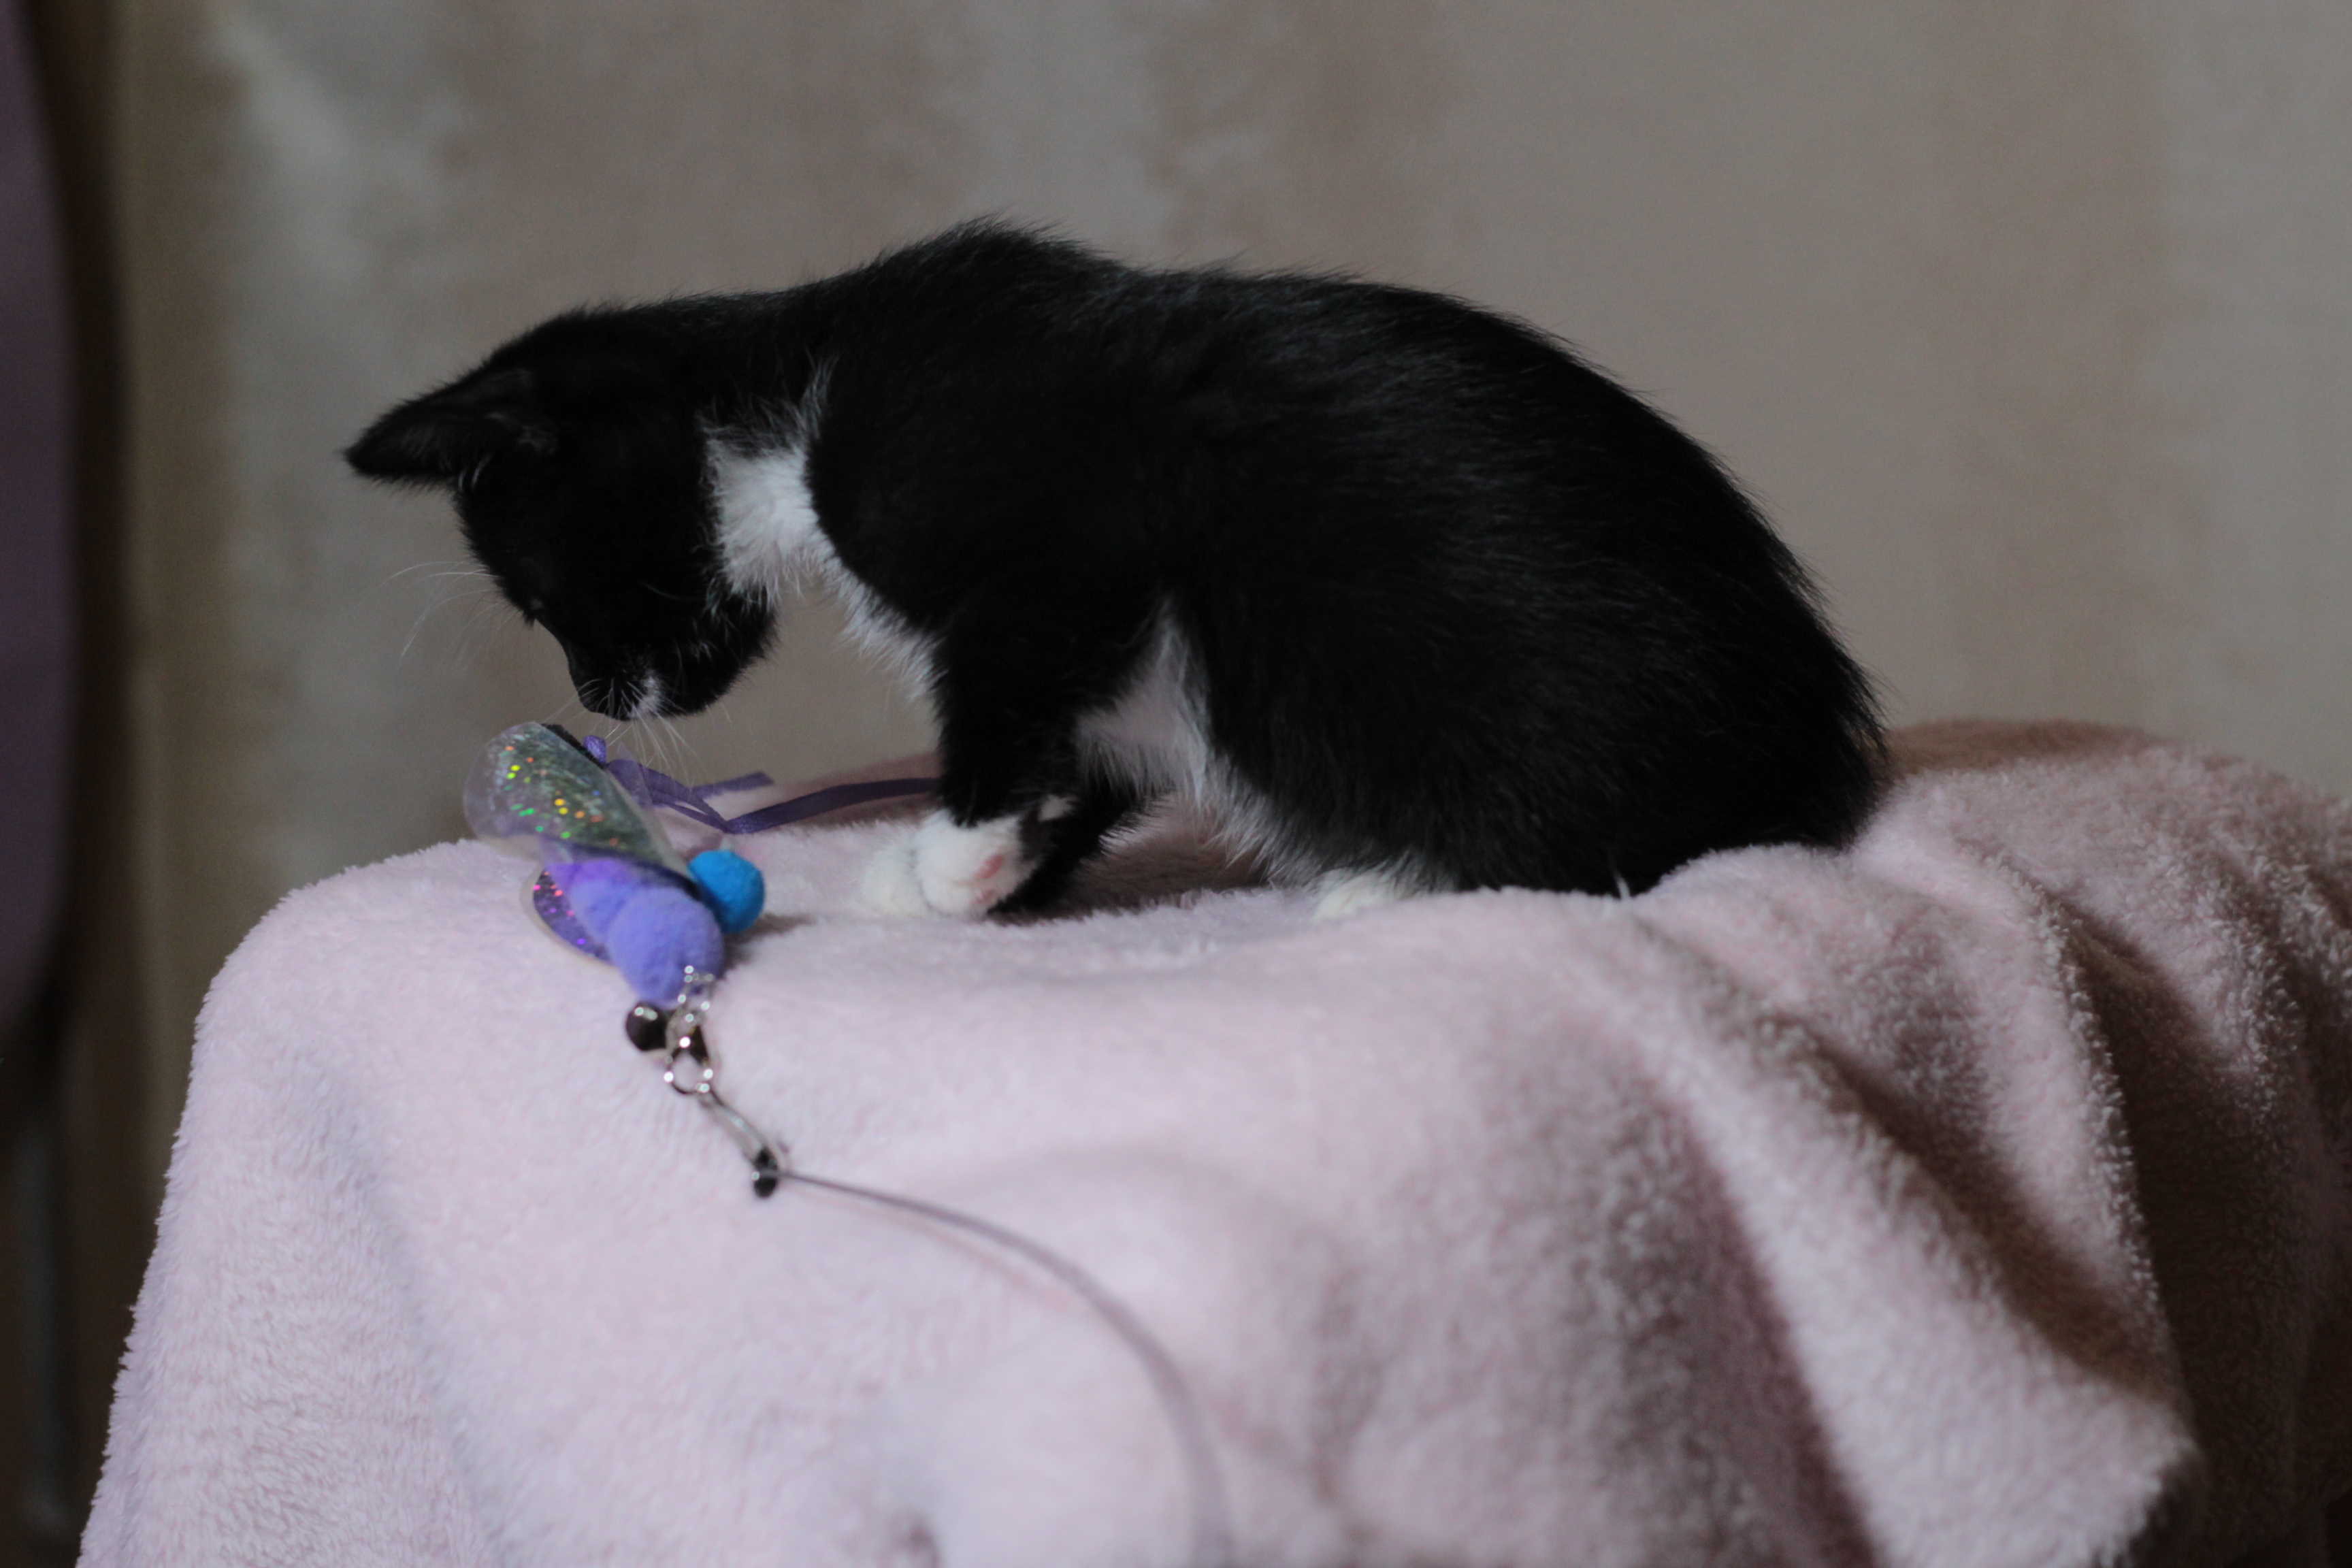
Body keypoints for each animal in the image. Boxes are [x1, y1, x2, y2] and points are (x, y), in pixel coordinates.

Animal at [348, 221, 1881, 920]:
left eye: (543, 597)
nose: (601, 696)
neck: (787, 400)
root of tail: (1807, 718)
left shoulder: (1060, 533)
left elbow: (1007, 686)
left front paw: (958, 854)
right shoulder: (1096, 653)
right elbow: (1081, 734)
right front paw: (991, 869)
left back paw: (1401, 879)